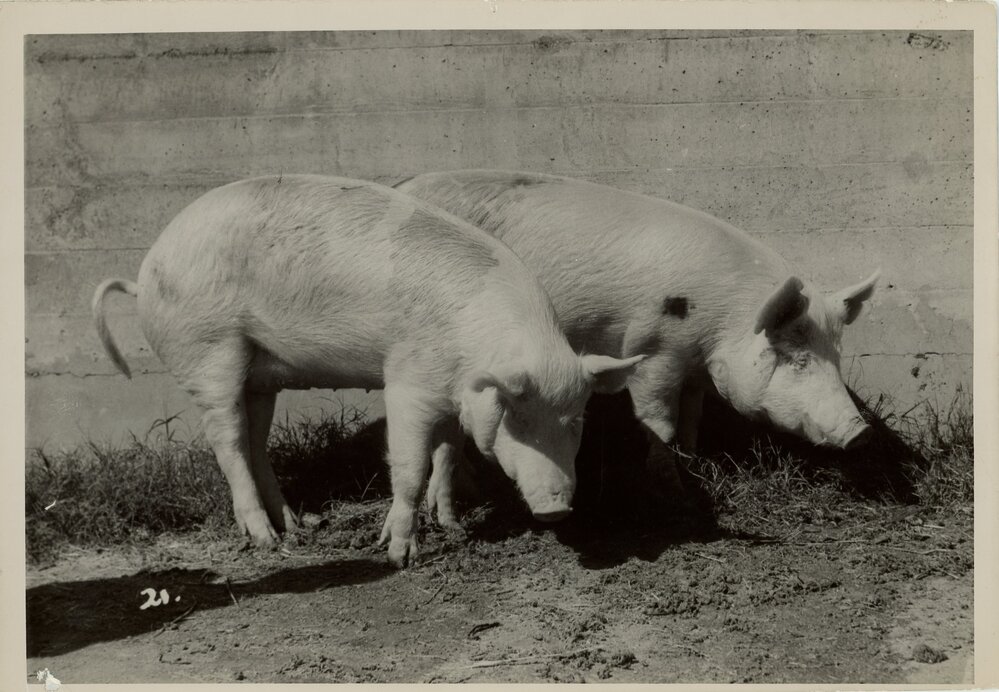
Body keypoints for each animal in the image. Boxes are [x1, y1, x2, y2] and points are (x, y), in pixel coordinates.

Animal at [91, 174, 643, 567]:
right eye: (518, 419)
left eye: (576, 421)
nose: (556, 507)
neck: (471, 352)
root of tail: (145, 273)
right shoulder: (407, 382)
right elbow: (410, 466)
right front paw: (399, 556)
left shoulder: (452, 392)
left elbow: (446, 454)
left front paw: (452, 525)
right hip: (209, 350)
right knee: (226, 441)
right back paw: (265, 540)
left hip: (259, 374)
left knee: (253, 440)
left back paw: (298, 526)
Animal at [395, 170, 879, 522]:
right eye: (797, 359)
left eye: (836, 358)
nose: (860, 433)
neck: (724, 322)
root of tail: (403, 185)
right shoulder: (653, 351)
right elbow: (658, 421)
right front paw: (672, 491)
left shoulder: (696, 368)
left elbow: (693, 414)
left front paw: (693, 459)